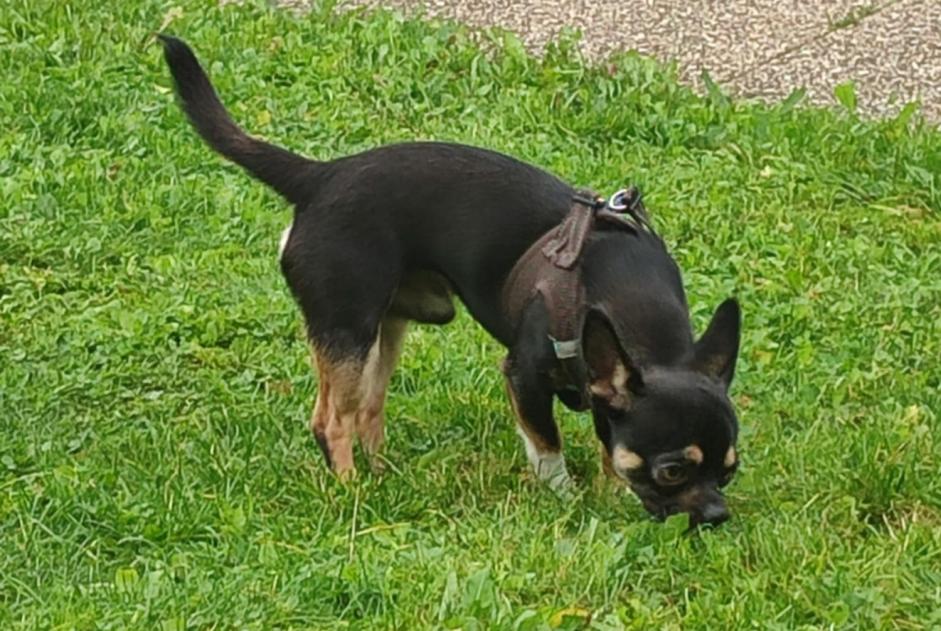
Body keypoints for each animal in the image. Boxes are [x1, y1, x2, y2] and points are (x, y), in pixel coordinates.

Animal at [158, 35, 740, 528]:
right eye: (672, 470)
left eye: (730, 470)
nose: (717, 516)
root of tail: (318, 177)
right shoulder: (524, 376)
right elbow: (547, 444)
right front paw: (565, 497)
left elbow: (607, 445)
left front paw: (612, 491)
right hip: (347, 327)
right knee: (332, 420)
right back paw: (351, 490)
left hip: (385, 330)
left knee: (369, 408)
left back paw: (384, 475)